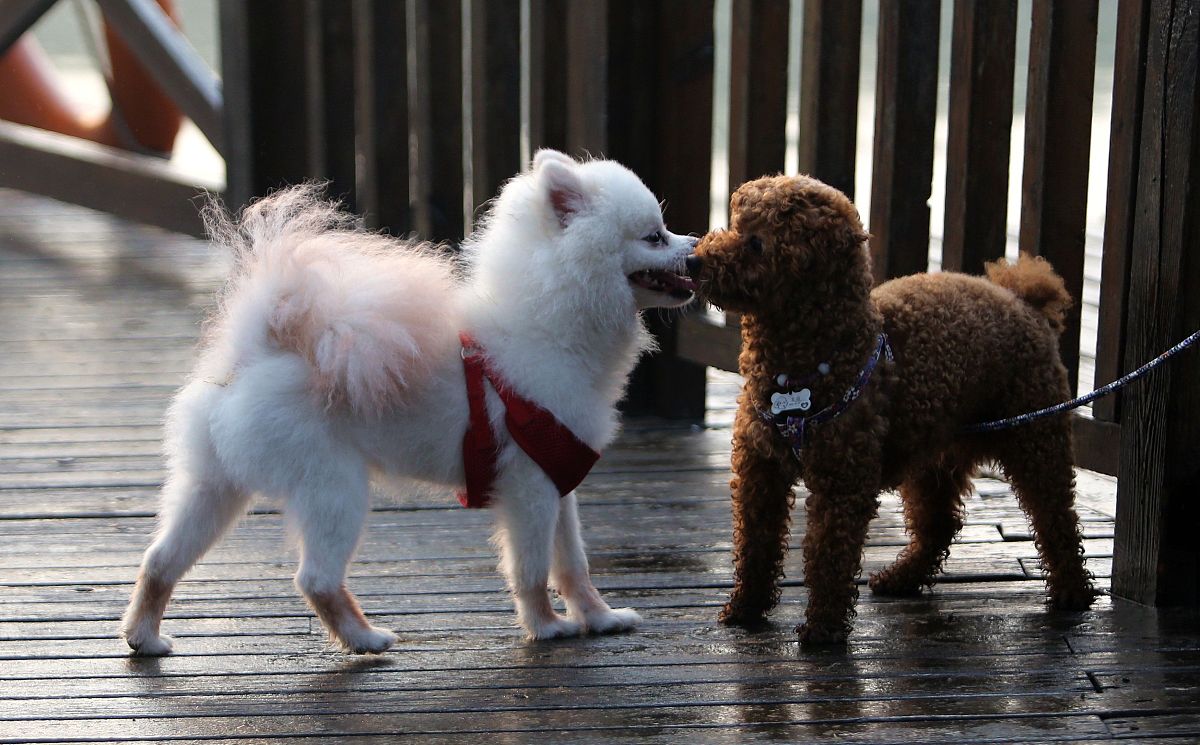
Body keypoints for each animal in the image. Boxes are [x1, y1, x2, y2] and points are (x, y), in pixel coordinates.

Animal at [118, 149, 700, 652]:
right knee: (315, 577)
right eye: (654, 236)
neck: (552, 331)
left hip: (214, 485)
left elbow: (574, 565)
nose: (696, 242)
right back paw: (364, 639)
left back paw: (144, 637)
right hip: (334, 487)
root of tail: (255, 351)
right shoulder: (530, 487)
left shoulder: (559, 480)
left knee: (160, 558)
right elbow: (532, 569)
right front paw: (546, 627)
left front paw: (601, 618)